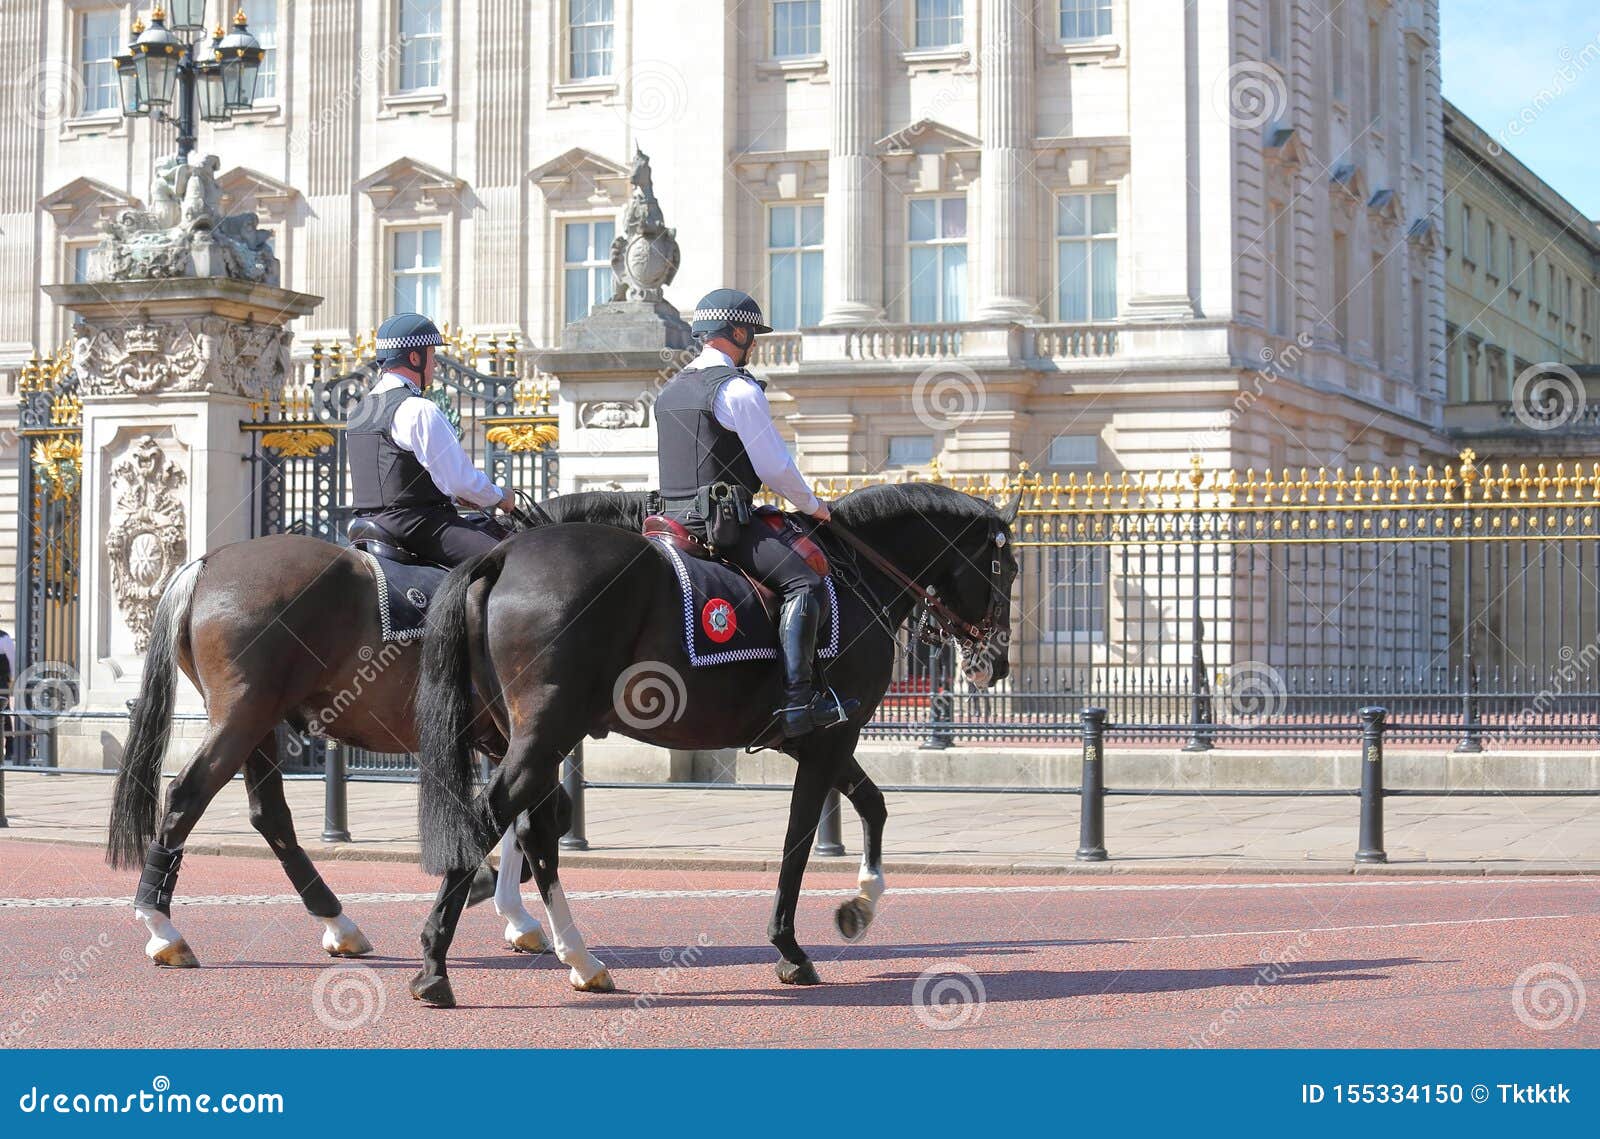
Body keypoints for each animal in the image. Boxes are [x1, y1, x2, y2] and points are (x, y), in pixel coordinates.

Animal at [409, 479, 1011, 1004]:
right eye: (1005, 567)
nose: (995, 664)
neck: (857, 573)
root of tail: (504, 553)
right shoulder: (831, 738)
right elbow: (799, 841)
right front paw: (791, 948)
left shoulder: (818, 741)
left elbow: (873, 804)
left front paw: (859, 904)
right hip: (545, 735)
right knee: (492, 821)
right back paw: (436, 965)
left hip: (529, 738)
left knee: (533, 830)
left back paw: (579, 959)